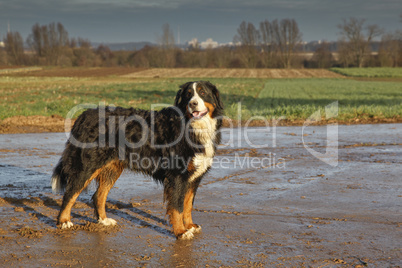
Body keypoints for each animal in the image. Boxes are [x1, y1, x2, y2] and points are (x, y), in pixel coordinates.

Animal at [51, 80, 223, 240]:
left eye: (202, 92)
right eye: (188, 94)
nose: (193, 104)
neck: (192, 127)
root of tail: (84, 115)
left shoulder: (194, 178)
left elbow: (188, 205)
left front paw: (190, 226)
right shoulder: (177, 176)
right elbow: (177, 207)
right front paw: (181, 231)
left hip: (112, 169)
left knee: (98, 196)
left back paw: (104, 221)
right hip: (88, 166)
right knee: (70, 193)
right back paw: (64, 221)